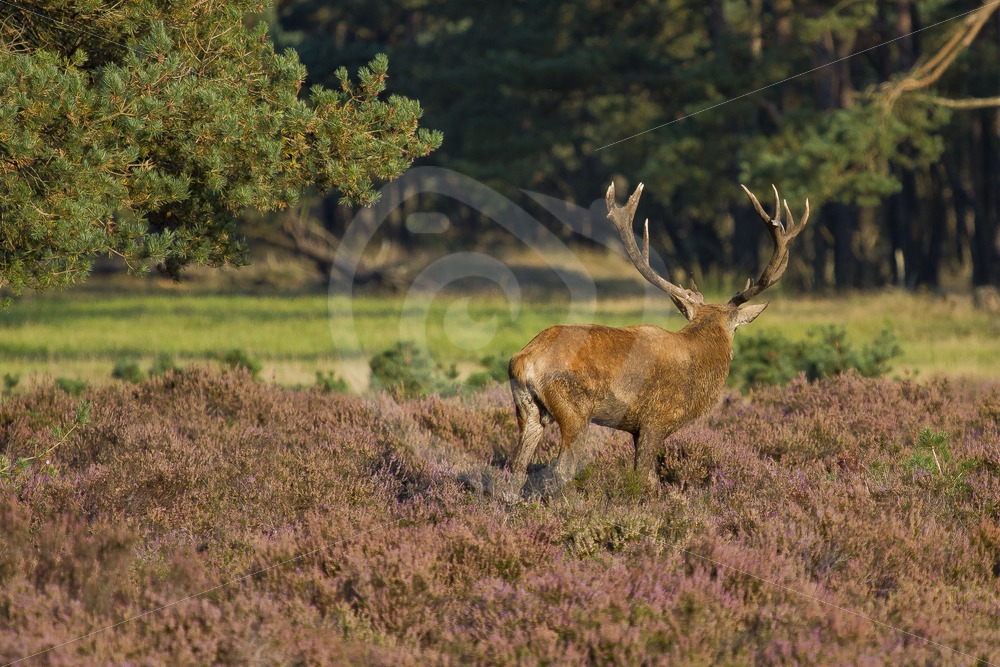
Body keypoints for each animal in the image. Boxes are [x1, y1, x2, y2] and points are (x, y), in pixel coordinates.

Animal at [507, 181, 808, 492]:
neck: (698, 366)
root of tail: (524, 361)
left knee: (516, 468)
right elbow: (646, 478)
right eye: (734, 329)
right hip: (575, 410)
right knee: (561, 470)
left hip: (527, 410)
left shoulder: (636, 428)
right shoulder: (656, 420)